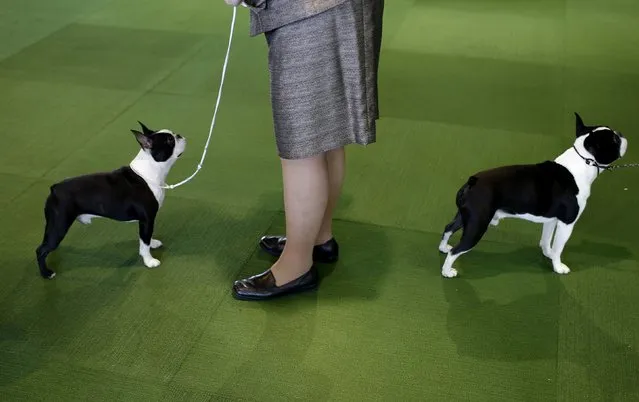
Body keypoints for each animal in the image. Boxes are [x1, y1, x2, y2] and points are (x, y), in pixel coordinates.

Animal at [35, 122, 186, 280]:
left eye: (173, 135)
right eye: (169, 140)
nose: (179, 135)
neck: (150, 172)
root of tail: (55, 188)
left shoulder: (145, 221)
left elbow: (146, 238)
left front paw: (153, 243)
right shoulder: (147, 220)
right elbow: (144, 242)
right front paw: (149, 261)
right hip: (59, 225)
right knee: (41, 250)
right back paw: (46, 273)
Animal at [440, 113, 632, 276]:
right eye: (614, 140)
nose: (621, 134)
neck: (583, 162)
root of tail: (473, 181)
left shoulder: (551, 219)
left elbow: (547, 240)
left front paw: (548, 254)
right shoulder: (567, 223)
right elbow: (559, 247)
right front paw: (558, 267)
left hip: (466, 216)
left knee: (449, 227)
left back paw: (443, 247)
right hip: (477, 225)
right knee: (456, 250)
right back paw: (447, 271)